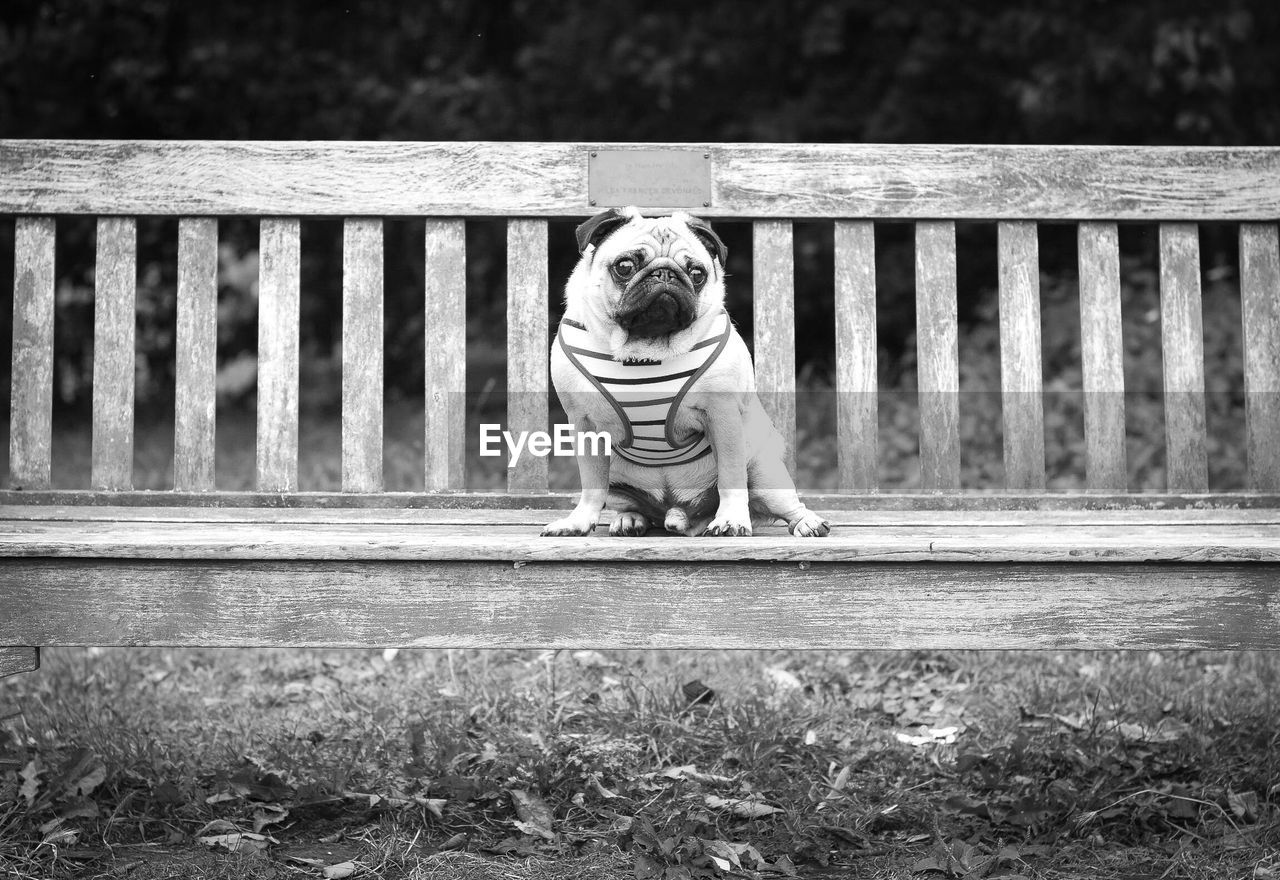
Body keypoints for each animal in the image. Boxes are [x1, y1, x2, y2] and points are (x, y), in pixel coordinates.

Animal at [540, 208, 829, 537]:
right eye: (625, 267)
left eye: (697, 273)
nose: (665, 274)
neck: (646, 352)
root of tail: (679, 512)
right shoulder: (585, 424)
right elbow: (591, 485)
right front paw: (578, 521)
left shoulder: (723, 416)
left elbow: (731, 478)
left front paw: (731, 519)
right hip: (618, 481)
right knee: (630, 504)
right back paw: (630, 519)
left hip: (764, 470)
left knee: (784, 502)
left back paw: (806, 522)